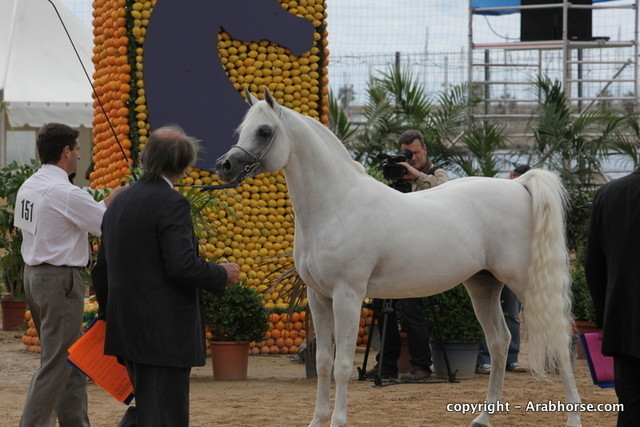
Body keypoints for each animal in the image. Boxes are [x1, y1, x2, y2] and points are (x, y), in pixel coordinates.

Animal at [216, 88, 582, 427]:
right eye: (242, 130)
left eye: (264, 131)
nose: (225, 166)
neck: (336, 204)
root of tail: (520, 186)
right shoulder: (318, 298)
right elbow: (322, 362)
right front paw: (317, 420)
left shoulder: (348, 295)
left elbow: (342, 365)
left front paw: (337, 420)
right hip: (483, 285)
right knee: (499, 341)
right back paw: (482, 417)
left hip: (524, 281)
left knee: (558, 337)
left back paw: (573, 417)